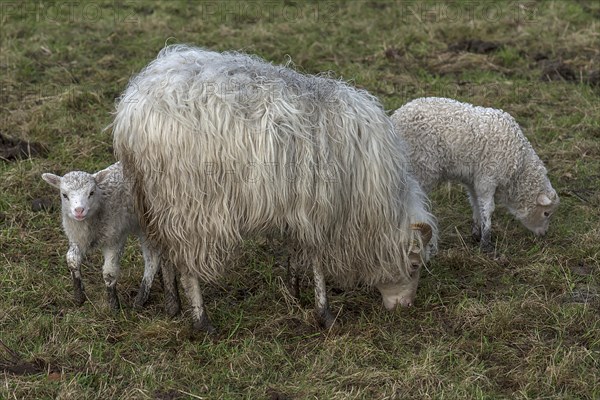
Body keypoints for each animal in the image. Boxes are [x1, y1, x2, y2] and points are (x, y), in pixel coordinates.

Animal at [41, 162, 179, 316]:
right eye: (64, 195)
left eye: (91, 193)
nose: (79, 211)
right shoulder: (76, 237)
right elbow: (71, 260)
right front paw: (79, 296)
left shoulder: (114, 239)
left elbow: (109, 273)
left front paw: (113, 306)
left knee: (152, 259)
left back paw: (141, 300)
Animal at [110, 43, 434, 332]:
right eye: (414, 266)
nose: (404, 308)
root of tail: (132, 109)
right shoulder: (321, 210)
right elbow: (316, 260)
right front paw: (324, 312)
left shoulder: (298, 205)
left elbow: (296, 250)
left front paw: (294, 290)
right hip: (188, 199)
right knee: (187, 263)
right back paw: (202, 320)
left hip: (152, 195)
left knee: (161, 249)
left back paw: (173, 304)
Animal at [392, 96, 560, 250]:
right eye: (546, 213)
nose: (544, 233)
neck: (519, 167)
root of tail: (395, 117)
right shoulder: (488, 178)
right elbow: (488, 208)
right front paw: (486, 242)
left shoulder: (474, 181)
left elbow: (476, 203)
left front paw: (476, 233)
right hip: (421, 168)